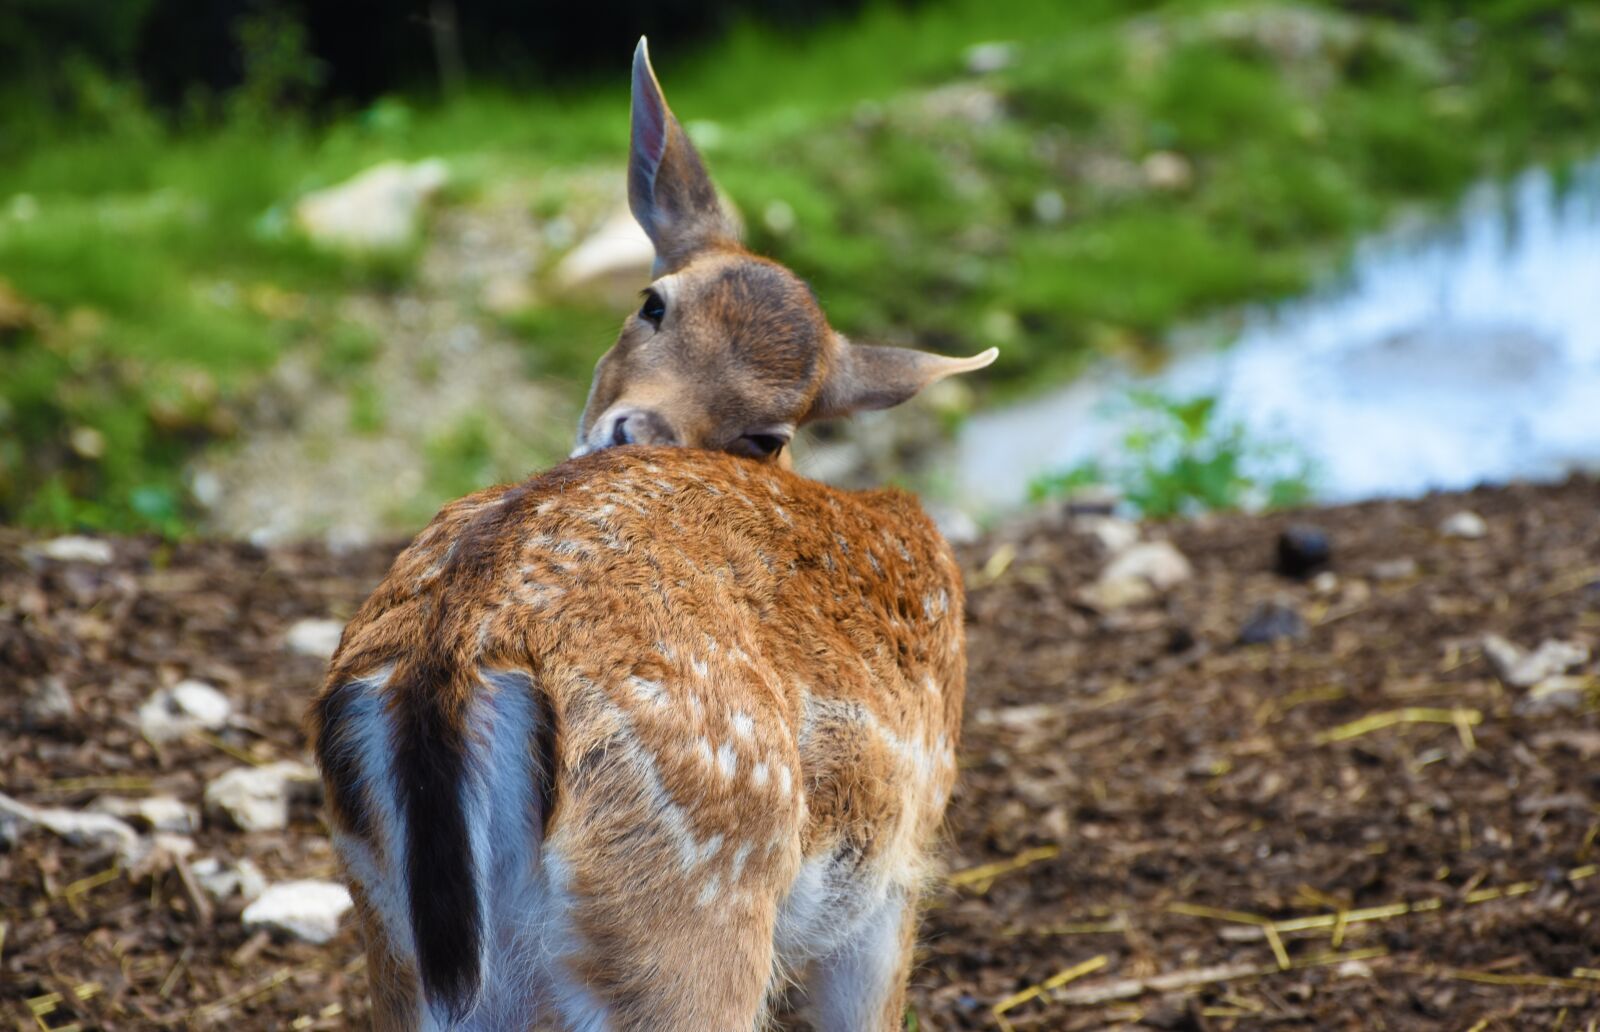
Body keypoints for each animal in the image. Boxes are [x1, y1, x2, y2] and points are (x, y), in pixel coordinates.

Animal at [309, 38, 996, 1031]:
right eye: (654, 301)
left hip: (395, 942)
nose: (635, 432)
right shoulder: (897, 876)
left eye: (769, 434)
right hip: (693, 900)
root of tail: (447, 661)